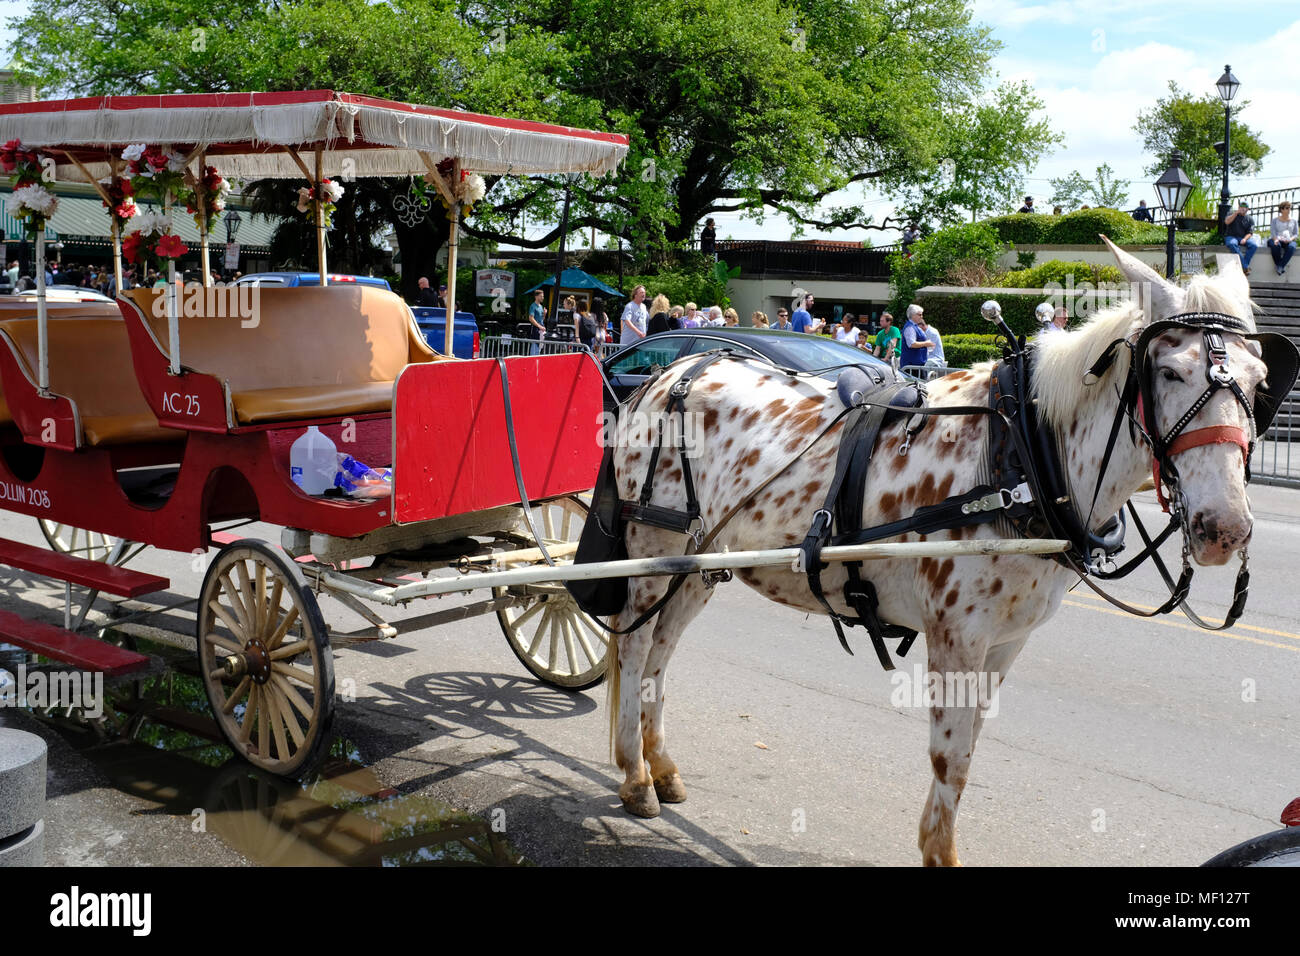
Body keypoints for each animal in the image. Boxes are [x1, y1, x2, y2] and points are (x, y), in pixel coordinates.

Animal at [602, 239, 1276, 865]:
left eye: (1260, 382)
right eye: (1170, 373)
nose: (1225, 528)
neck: (1021, 454)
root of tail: (666, 375)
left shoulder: (1006, 642)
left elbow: (970, 746)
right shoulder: (956, 635)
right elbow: (950, 756)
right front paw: (938, 849)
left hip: (698, 565)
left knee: (659, 655)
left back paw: (661, 765)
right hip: (652, 551)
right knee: (633, 648)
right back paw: (634, 775)